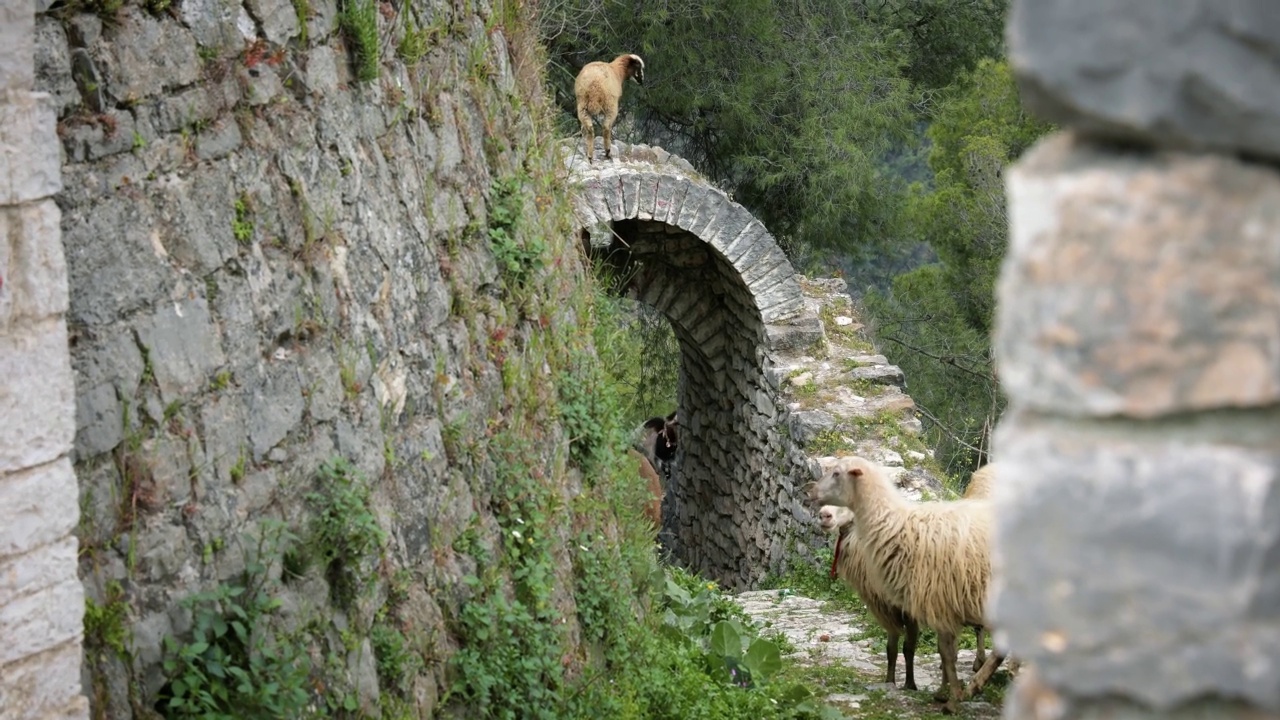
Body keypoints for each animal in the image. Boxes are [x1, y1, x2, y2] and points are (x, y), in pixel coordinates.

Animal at [814, 456, 1003, 707]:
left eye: (837, 474)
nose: (823, 515)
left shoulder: (920, 603)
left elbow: (917, 647)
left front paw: (919, 686)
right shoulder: (888, 606)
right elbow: (892, 648)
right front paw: (891, 681)